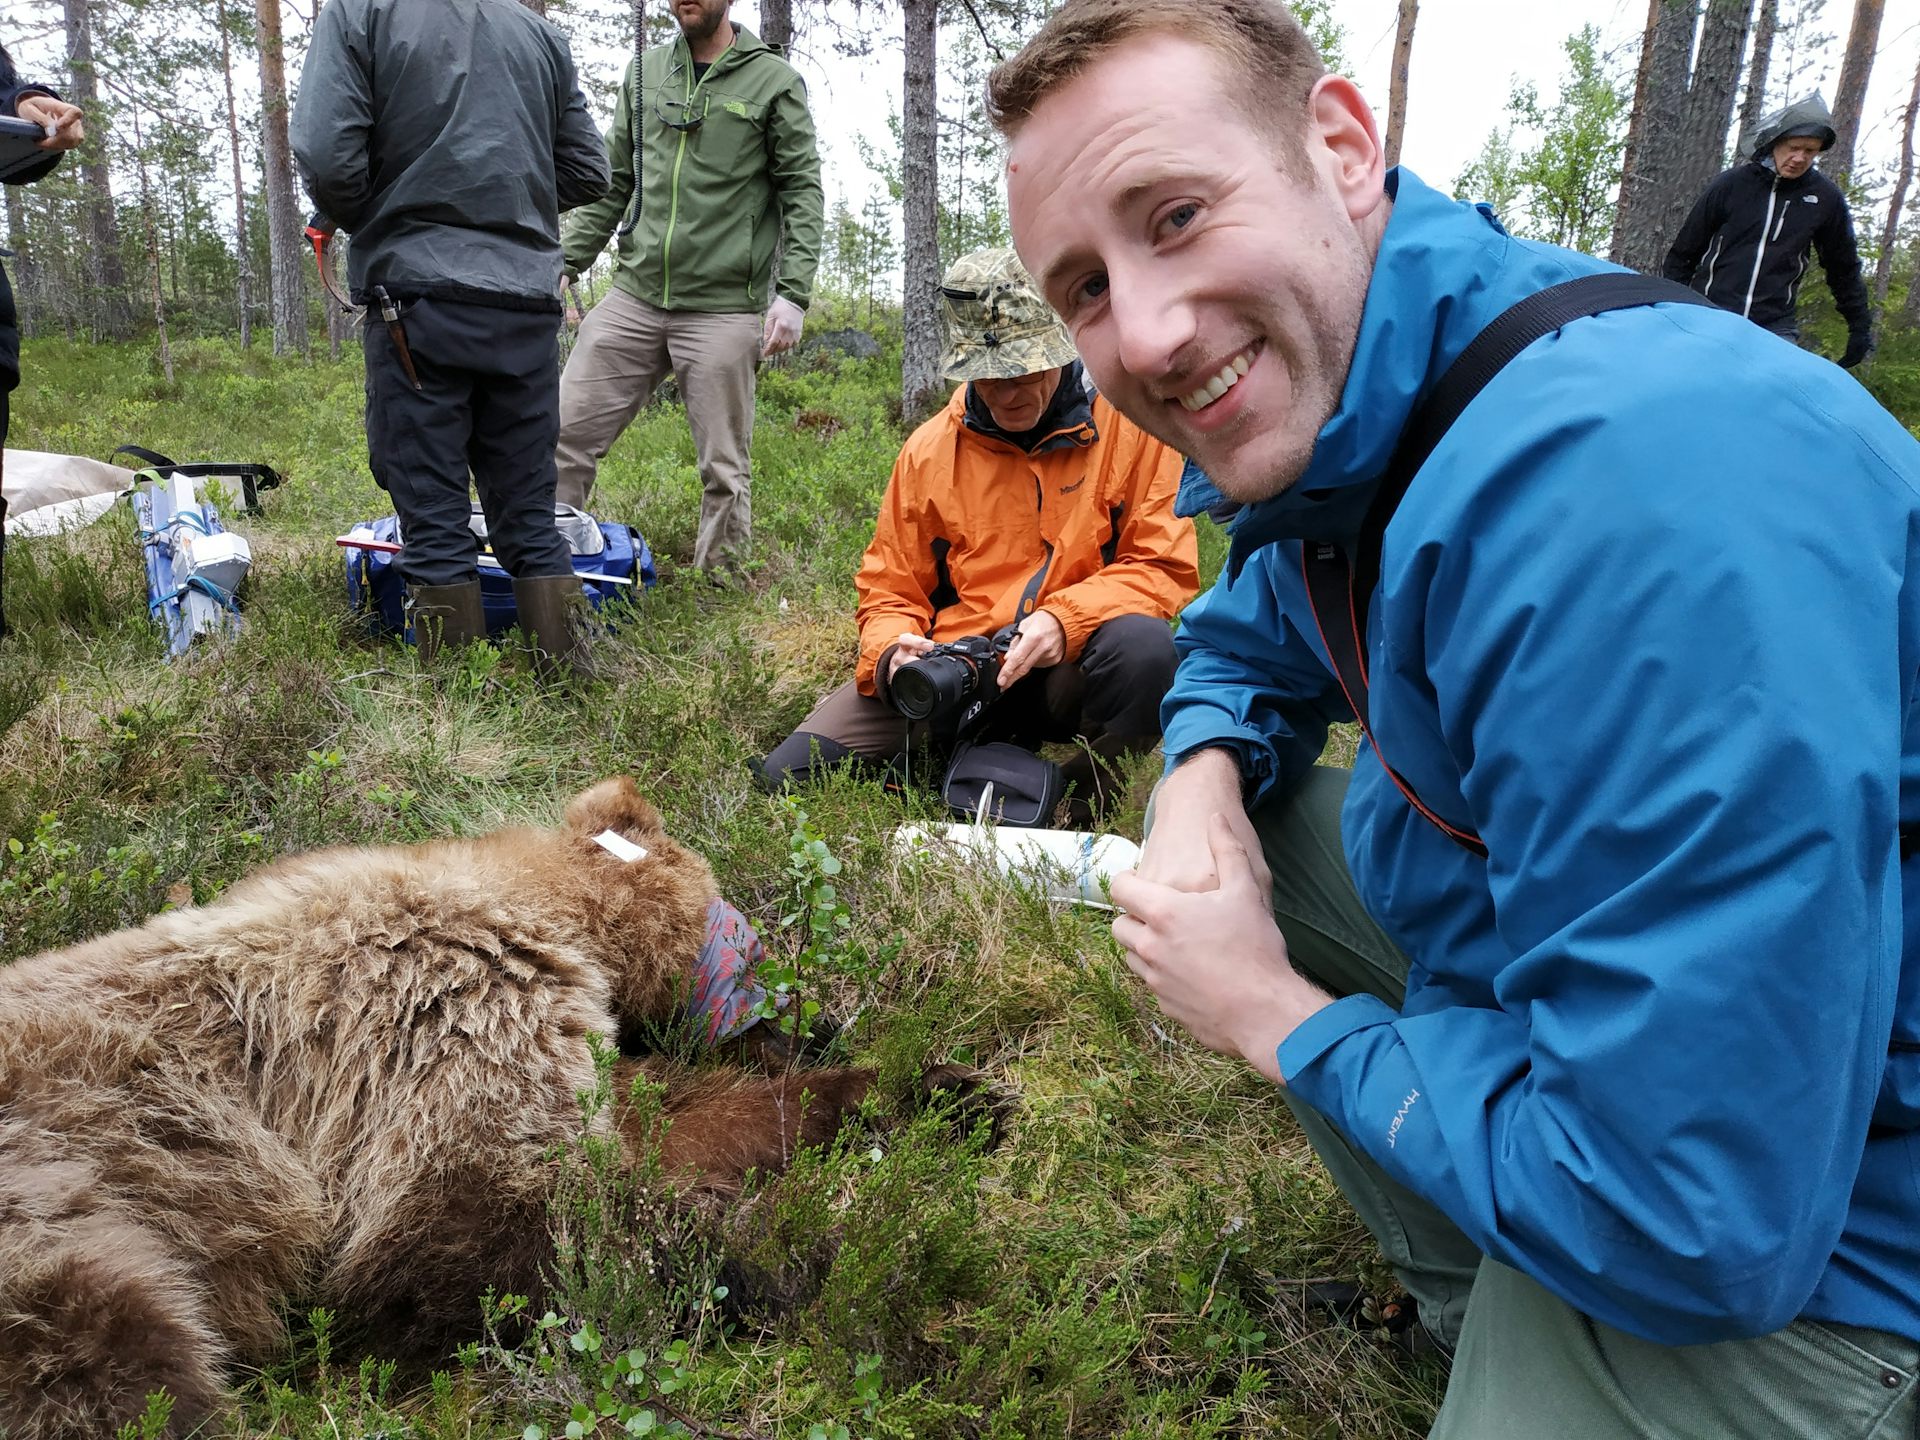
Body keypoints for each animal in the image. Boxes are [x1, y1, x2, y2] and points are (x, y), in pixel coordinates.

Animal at [0, 777, 919, 1439]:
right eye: (752, 949)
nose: (814, 1020)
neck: (543, 909)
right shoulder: (443, 1008)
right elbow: (486, 1234)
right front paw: (795, 1258)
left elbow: (666, 1115)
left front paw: (917, 1084)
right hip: (76, 1203)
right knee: (114, 1363)